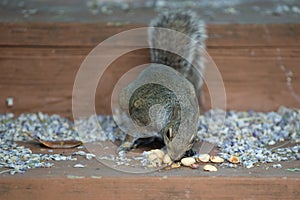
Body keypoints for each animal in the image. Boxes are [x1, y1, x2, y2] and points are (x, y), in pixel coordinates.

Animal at [116, 10, 206, 161]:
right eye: (169, 133)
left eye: (192, 140)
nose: (175, 157)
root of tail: (162, 66)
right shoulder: (142, 118)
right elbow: (131, 133)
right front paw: (125, 145)